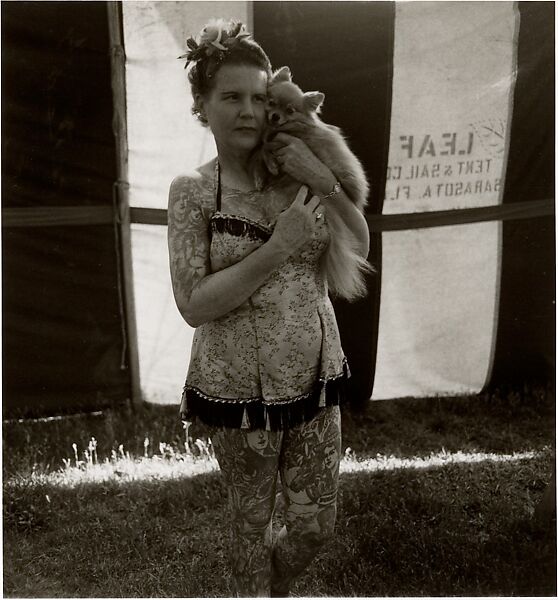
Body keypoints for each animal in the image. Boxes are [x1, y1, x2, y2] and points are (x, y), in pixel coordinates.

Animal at [262, 68, 376, 302]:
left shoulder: (283, 140)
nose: (275, 116)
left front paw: (271, 162)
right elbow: (264, 145)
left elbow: (265, 146)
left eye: (290, 110)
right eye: (271, 102)